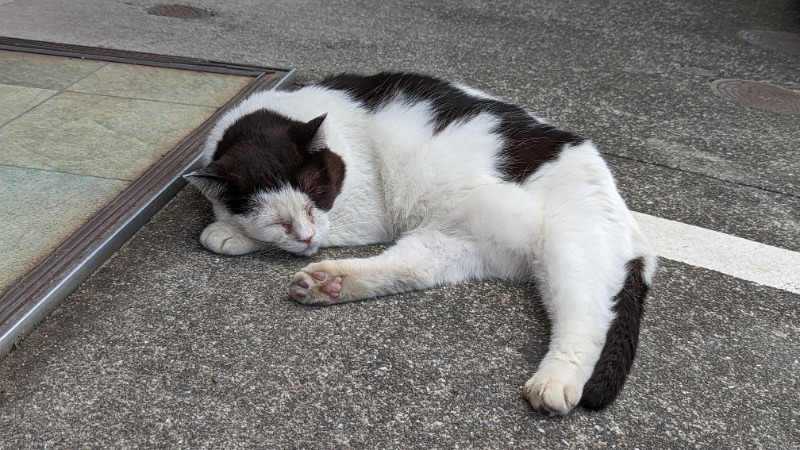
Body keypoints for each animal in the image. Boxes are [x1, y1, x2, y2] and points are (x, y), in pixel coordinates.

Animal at [186, 72, 656, 416]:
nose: (305, 236)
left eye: (316, 193)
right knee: (409, 269)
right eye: (277, 220)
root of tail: (637, 234)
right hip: (451, 244)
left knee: (587, 322)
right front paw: (231, 224)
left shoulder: (364, 212)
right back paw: (329, 283)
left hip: (569, 251)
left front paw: (228, 232)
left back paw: (557, 381)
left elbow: (321, 229)